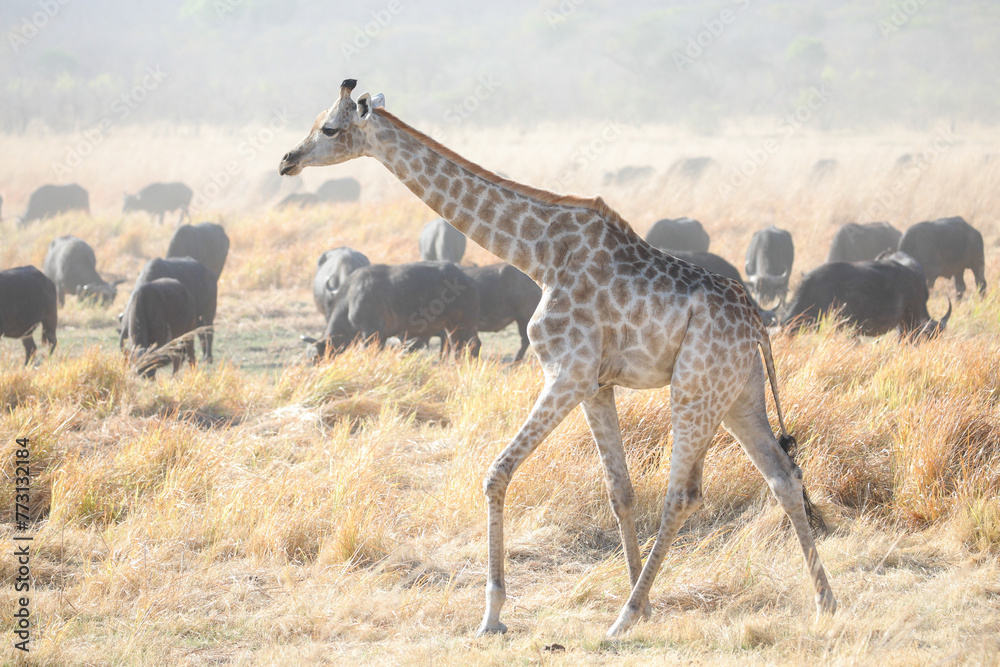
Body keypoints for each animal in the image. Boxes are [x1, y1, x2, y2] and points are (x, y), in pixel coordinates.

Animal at [303, 262, 480, 359]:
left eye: (316, 356)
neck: (351, 298)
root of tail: (467, 278)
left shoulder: (372, 333)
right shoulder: (380, 337)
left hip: (466, 322)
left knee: (474, 344)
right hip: (451, 326)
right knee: (457, 346)